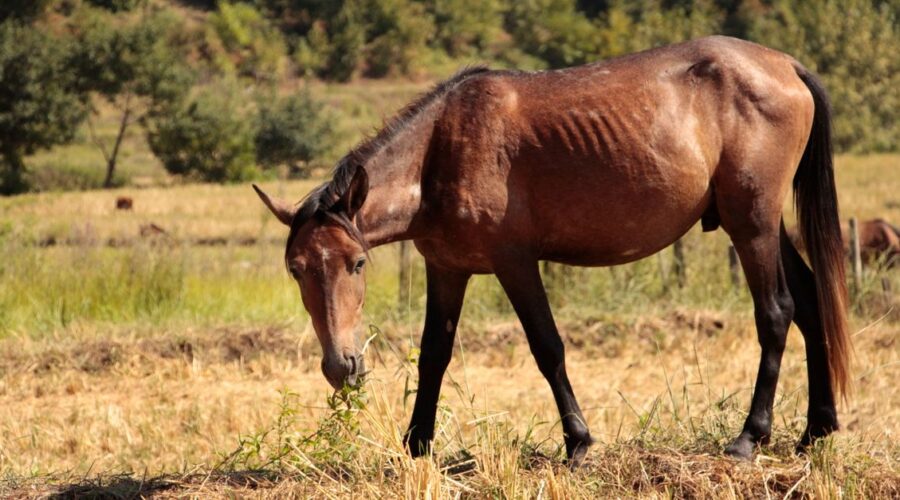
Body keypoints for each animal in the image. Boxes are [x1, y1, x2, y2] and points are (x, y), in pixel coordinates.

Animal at [253, 36, 850, 465]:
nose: (342, 366)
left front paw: (578, 442)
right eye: (296, 270)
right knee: (810, 302)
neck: (442, 149)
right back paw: (816, 429)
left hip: (751, 225)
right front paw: (417, 445)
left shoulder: (515, 264)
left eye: (356, 264)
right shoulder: (446, 268)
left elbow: (548, 348)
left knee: (776, 313)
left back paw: (750, 437)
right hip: (762, 226)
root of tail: (786, 66)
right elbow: (433, 355)